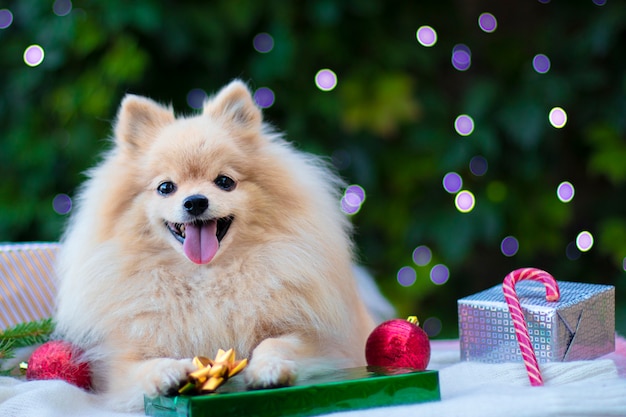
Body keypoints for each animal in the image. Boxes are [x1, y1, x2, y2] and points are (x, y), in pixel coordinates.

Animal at [52, 79, 376, 408]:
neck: (205, 277)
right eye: (165, 187)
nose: (195, 201)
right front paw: (168, 371)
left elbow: (276, 343)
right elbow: (146, 365)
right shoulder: (118, 367)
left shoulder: (320, 342)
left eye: (225, 182)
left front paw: (269, 368)